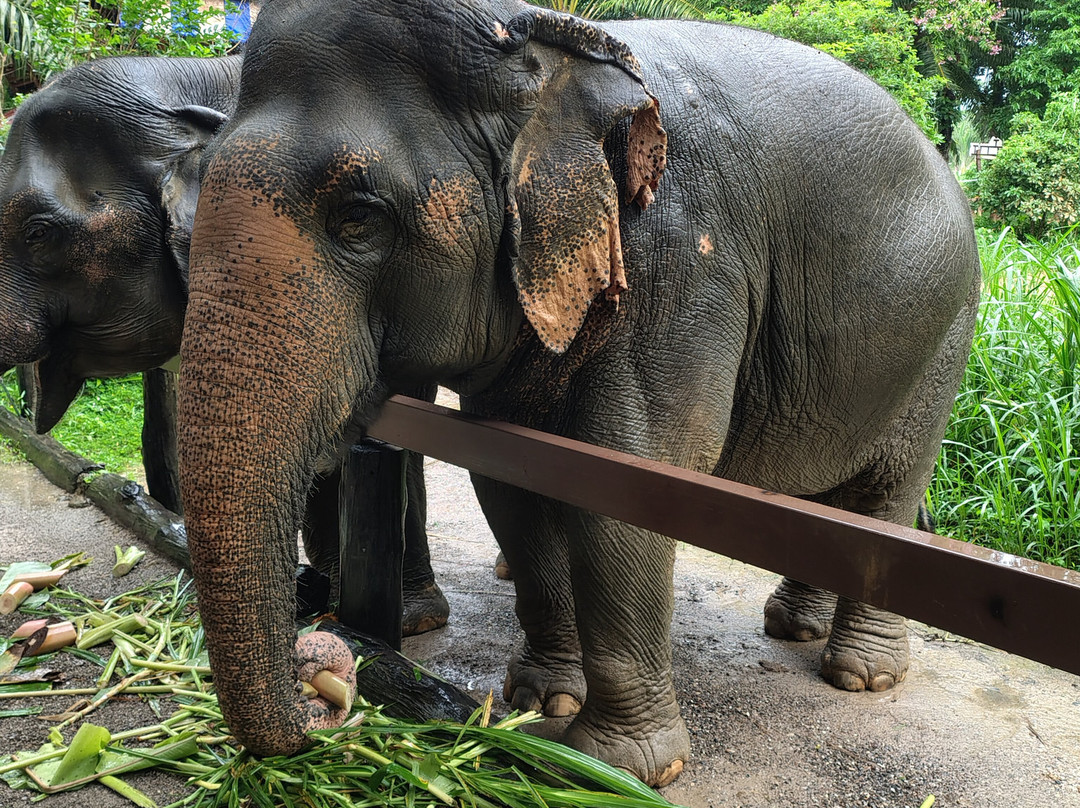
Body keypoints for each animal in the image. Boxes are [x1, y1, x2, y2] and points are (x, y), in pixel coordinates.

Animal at [178, 0, 980, 787]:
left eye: (357, 216)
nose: (322, 680)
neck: (536, 47)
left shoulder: (679, 267)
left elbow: (633, 482)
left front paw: (626, 768)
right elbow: (510, 483)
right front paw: (540, 701)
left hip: (943, 336)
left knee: (886, 489)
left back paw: (861, 675)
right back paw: (793, 627)